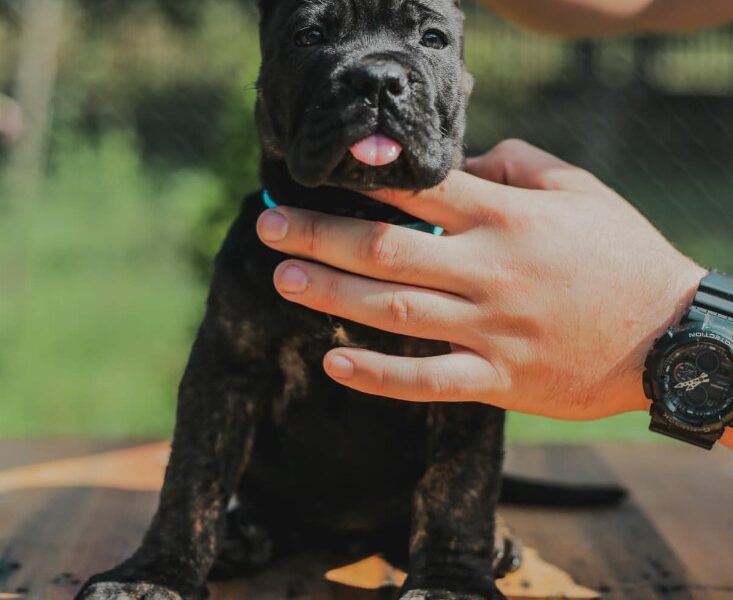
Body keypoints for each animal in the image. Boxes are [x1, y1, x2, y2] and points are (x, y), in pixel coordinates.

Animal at [77, 1, 620, 600]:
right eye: (309, 35)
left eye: (433, 38)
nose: (377, 79)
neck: (356, 212)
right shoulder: (224, 369)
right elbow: (192, 480)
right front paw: (152, 576)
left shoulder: (464, 380)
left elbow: (459, 487)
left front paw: (453, 580)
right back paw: (245, 534)